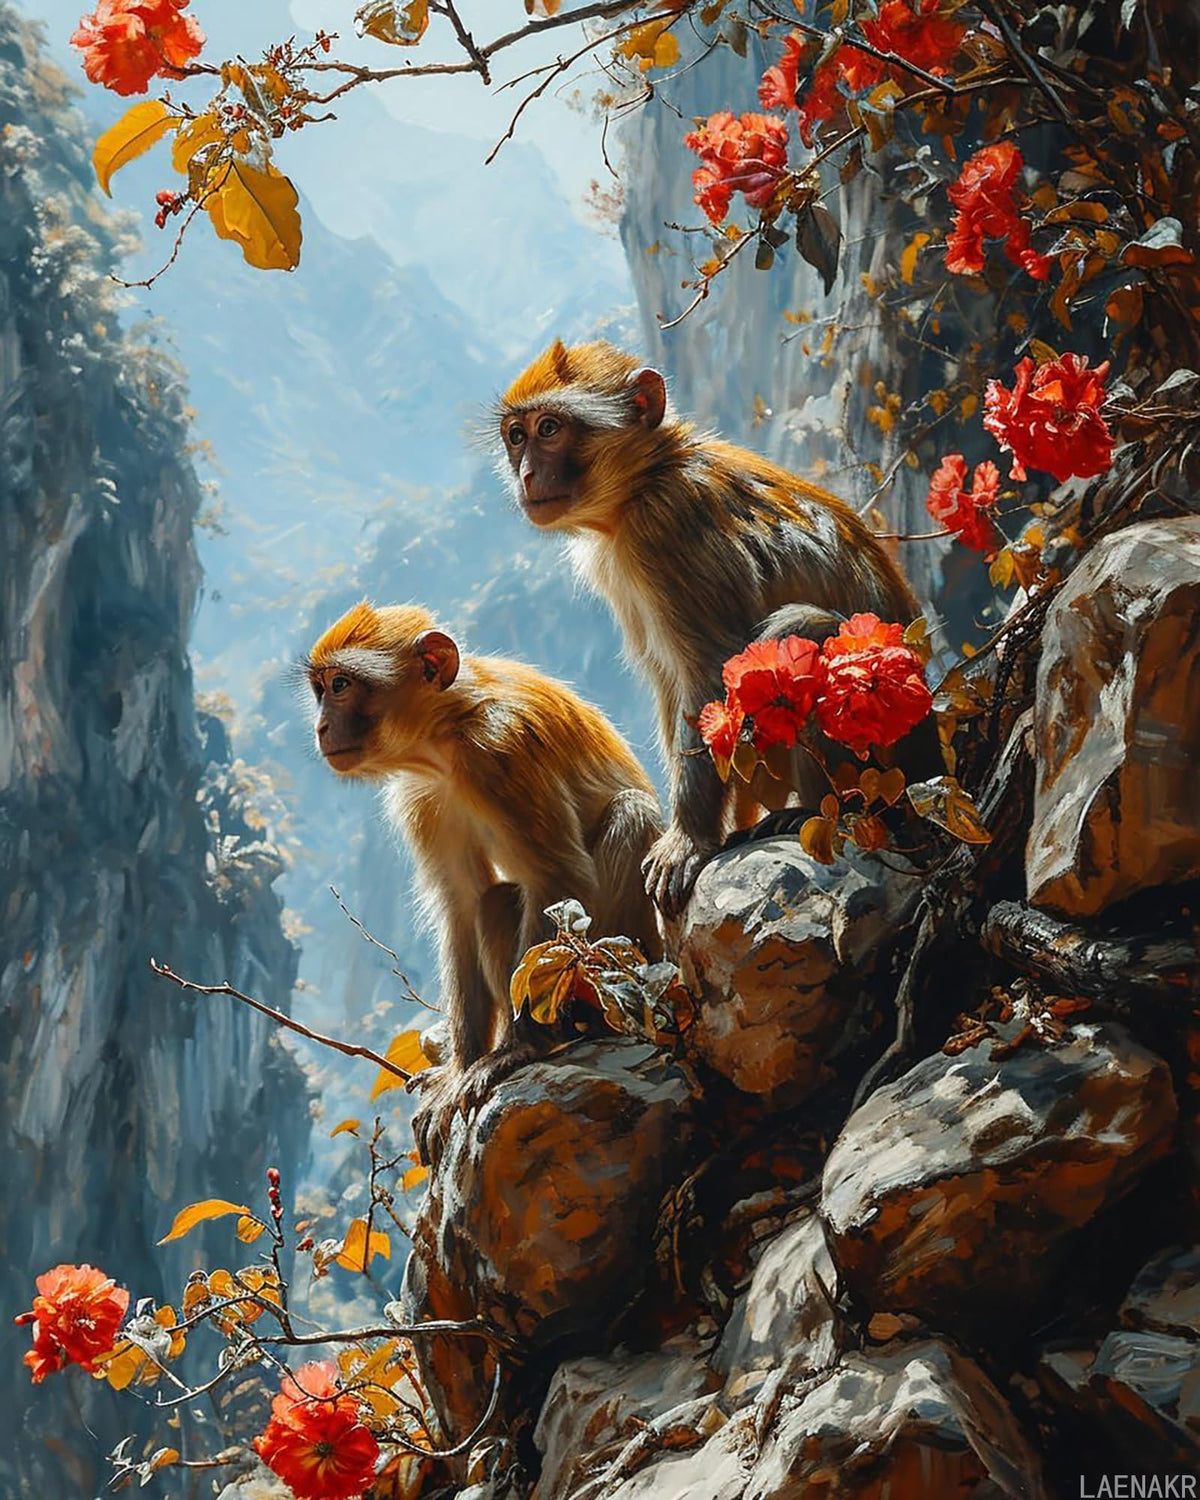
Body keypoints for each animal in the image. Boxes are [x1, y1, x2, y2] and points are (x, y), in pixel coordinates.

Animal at [306, 600, 663, 1158]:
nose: (321, 726)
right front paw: (459, 1068)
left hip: (627, 956)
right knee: (493, 902)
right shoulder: (421, 797)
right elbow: (460, 904)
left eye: (341, 685)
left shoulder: (499, 751)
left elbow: (556, 872)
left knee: (631, 812)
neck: (448, 734)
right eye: (321, 688)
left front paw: (516, 1051)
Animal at [496, 339, 939, 919]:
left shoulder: (668, 529)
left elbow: (710, 672)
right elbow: (672, 686)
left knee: (802, 628)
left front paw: (689, 839)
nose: (526, 475)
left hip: (891, 762)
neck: (650, 478)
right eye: (517, 436)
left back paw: (826, 813)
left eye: (549, 428)